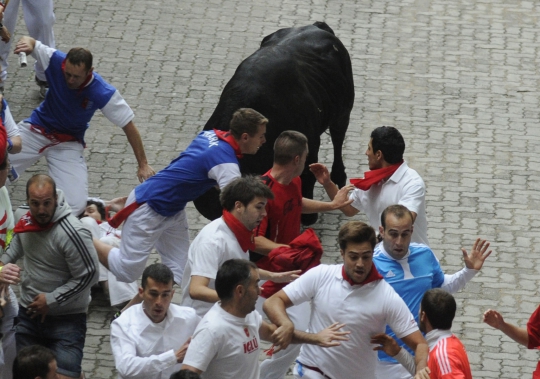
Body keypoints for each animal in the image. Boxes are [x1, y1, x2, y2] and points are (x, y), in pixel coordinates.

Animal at [194, 21, 354, 226]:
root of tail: (316, 26)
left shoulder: (309, 144)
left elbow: (308, 176)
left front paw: (308, 217)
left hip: (343, 112)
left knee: (337, 138)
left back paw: (339, 177)